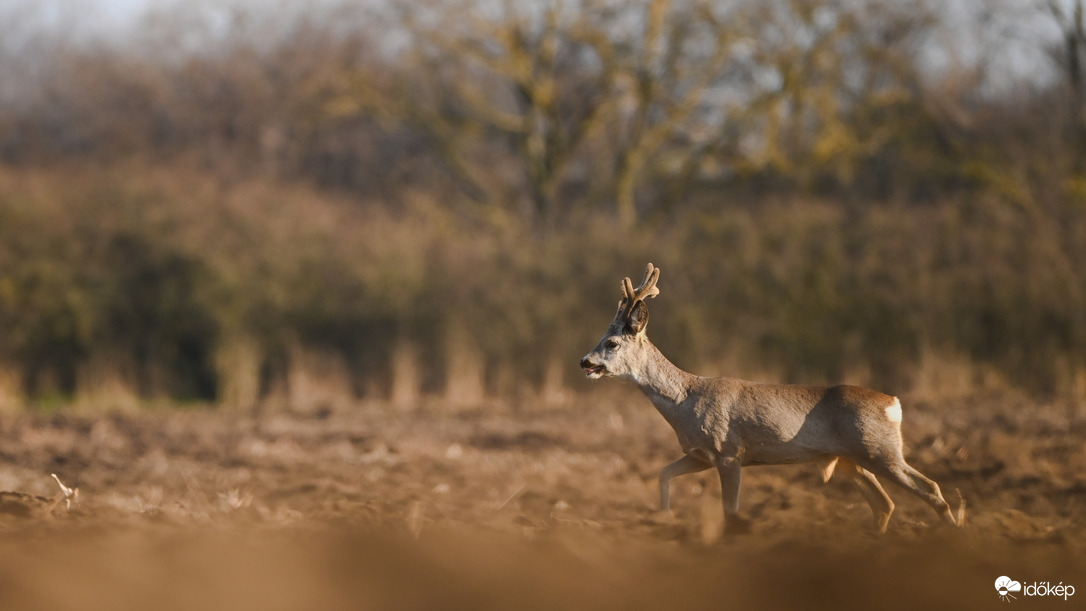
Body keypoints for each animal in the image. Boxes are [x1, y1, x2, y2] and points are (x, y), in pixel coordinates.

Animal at [582, 262, 964, 536]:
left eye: (611, 343)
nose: (585, 361)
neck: (684, 401)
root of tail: (893, 403)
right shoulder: (700, 454)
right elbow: (663, 473)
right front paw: (664, 517)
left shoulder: (728, 451)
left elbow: (730, 510)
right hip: (851, 459)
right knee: (884, 504)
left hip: (880, 449)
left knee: (929, 488)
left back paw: (955, 538)